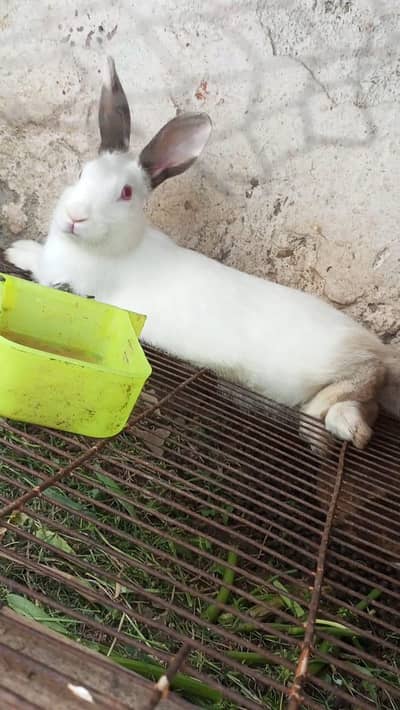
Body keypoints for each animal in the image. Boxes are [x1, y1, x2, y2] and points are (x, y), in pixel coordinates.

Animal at [6, 56, 400, 451]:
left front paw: (16, 251)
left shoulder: (66, 280)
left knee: (365, 377)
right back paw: (348, 427)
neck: (119, 244)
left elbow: (39, 267)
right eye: (81, 172)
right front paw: (19, 246)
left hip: (327, 365)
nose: (75, 216)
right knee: (366, 405)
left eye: (126, 193)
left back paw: (326, 426)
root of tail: (377, 347)